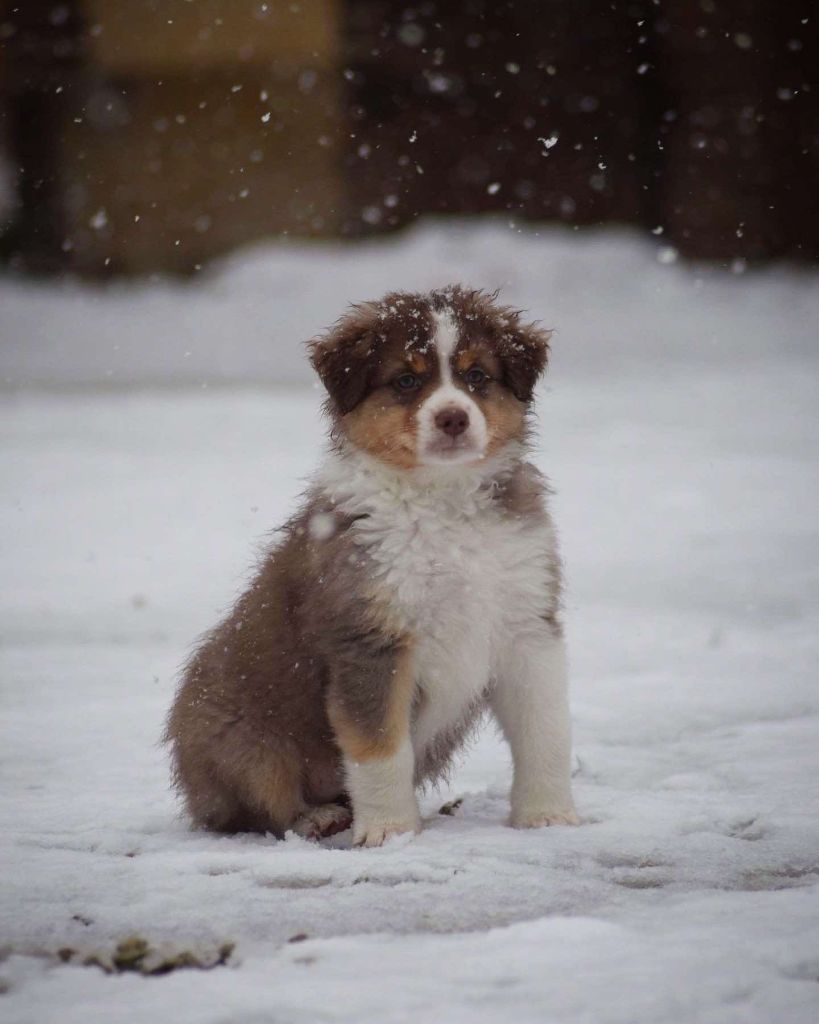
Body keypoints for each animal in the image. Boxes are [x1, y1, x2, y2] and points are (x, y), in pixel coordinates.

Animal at [164, 284, 577, 843]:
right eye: (405, 380)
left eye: (476, 375)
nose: (453, 418)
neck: (444, 503)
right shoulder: (369, 641)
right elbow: (379, 749)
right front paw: (389, 831)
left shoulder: (526, 625)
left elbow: (545, 731)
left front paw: (547, 816)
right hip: (242, 744)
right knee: (253, 808)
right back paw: (319, 816)